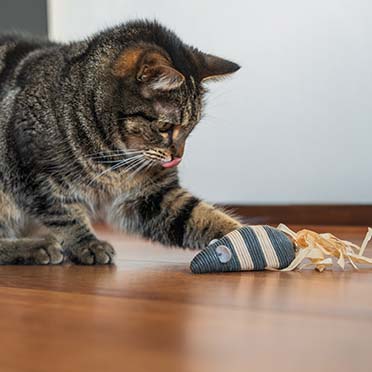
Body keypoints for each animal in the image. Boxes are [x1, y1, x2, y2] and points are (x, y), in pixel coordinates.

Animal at [0, 21, 241, 264]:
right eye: (165, 127)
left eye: (190, 128)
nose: (178, 156)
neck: (113, 158)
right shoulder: (34, 175)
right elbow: (65, 215)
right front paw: (87, 243)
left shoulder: (152, 195)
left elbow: (199, 216)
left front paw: (244, 236)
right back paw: (37, 246)